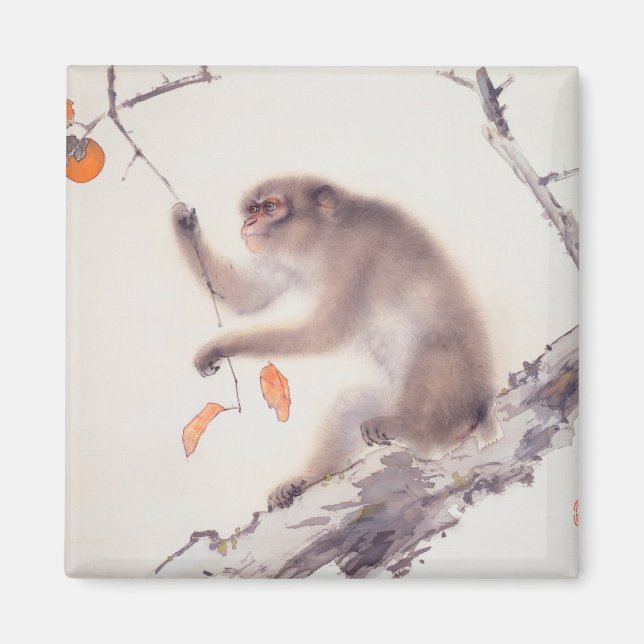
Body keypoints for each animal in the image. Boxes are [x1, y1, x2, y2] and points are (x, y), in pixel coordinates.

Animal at [172, 176, 501, 510]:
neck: (325, 238)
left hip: (458, 395)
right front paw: (184, 225)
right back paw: (305, 480)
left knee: (434, 349)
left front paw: (222, 345)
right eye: (253, 208)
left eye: (270, 207)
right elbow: (249, 296)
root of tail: (484, 407)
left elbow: (325, 332)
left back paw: (410, 427)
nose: (249, 223)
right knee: (352, 404)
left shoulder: (355, 255)